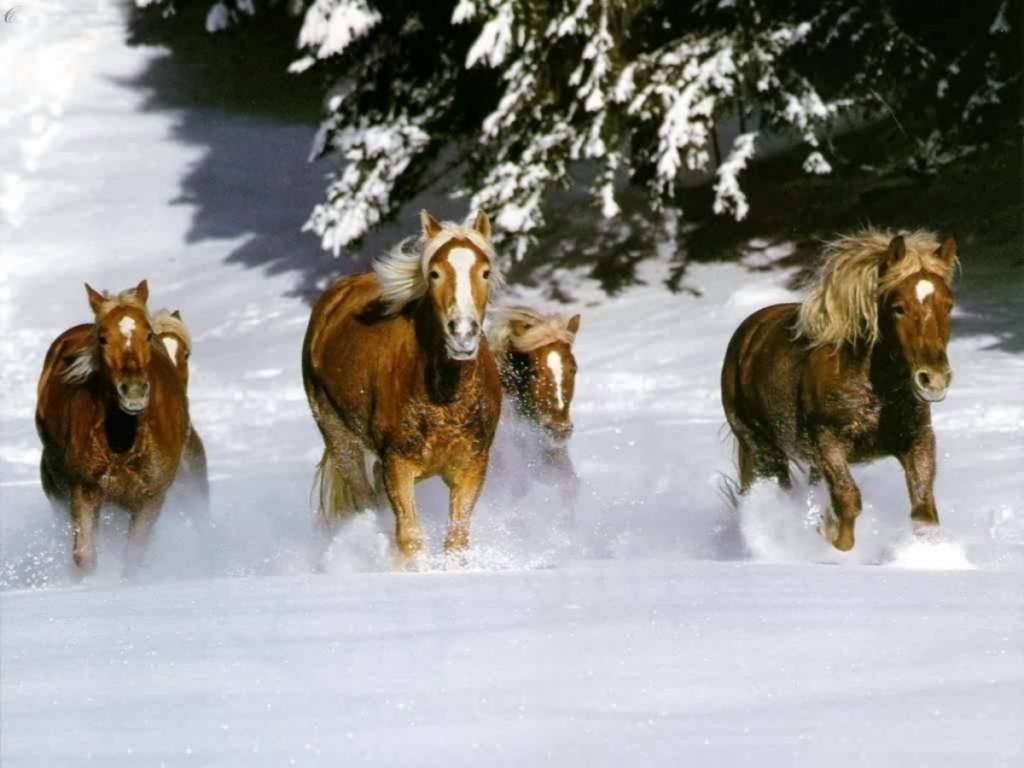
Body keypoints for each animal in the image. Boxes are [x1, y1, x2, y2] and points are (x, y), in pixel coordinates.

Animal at [36, 281, 189, 575]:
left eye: (148, 335)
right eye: (103, 338)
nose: (134, 392)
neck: (123, 442)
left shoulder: (151, 499)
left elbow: (133, 558)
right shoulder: (83, 491)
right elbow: (84, 557)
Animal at [302, 210, 503, 564]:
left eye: (485, 272)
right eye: (435, 273)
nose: (462, 334)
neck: (445, 400)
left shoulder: (472, 465)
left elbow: (456, 540)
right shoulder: (398, 465)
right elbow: (410, 538)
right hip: (340, 439)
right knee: (365, 500)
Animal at [721, 229, 958, 552]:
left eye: (948, 305)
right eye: (898, 308)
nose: (933, 379)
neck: (877, 391)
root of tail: (747, 334)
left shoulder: (918, 439)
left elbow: (924, 511)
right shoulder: (828, 442)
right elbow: (848, 501)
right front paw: (831, 539)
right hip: (761, 447)